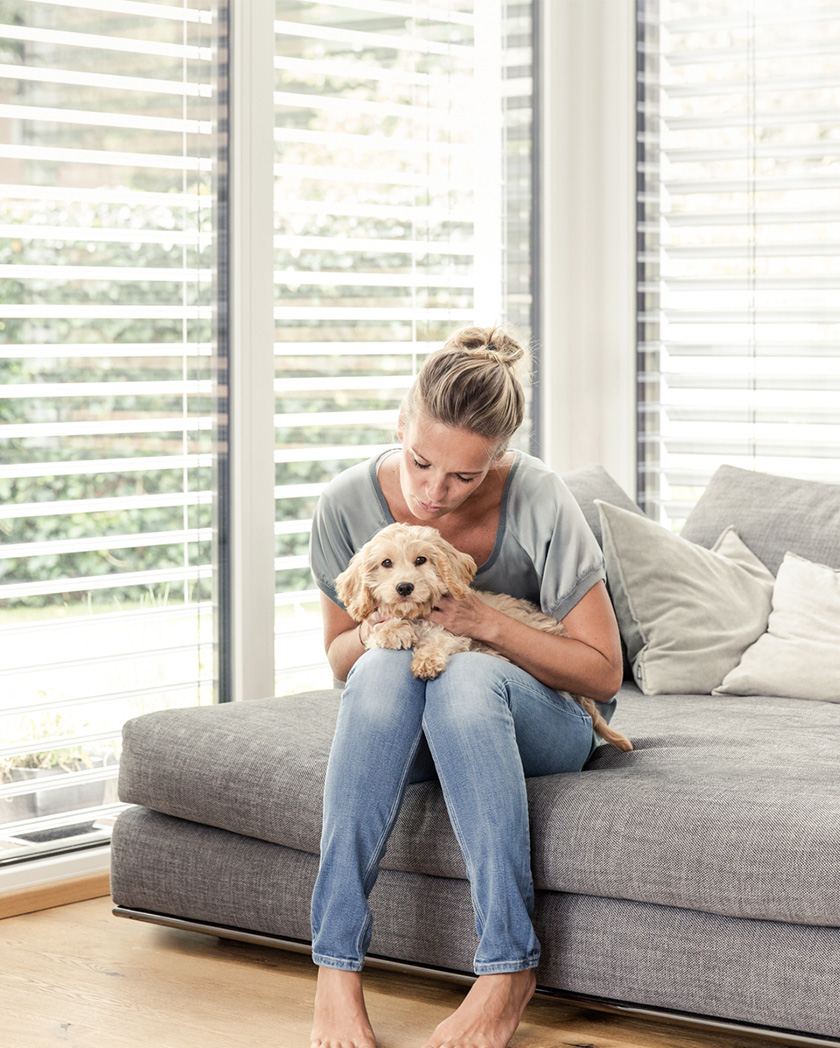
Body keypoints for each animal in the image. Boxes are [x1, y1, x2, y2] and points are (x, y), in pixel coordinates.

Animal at [333, 524, 628, 754]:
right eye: (386, 563)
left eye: (421, 560)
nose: (405, 587)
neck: (418, 616)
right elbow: (378, 629)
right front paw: (395, 630)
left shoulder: (455, 632)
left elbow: (438, 640)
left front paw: (425, 660)